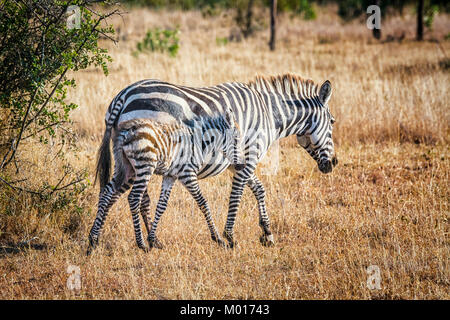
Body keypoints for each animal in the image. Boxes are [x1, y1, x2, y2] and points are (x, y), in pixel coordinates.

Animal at [93, 74, 336, 251]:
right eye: (333, 122)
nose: (333, 163)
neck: (269, 114)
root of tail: (122, 96)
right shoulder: (248, 157)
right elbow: (236, 196)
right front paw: (229, 236)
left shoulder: (240, 161)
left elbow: (259, 189)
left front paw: (267, 233)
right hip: (146, 157)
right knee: (135, 198)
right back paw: (144, 240)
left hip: (128, 159)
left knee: (110, 193)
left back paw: (98, 240)